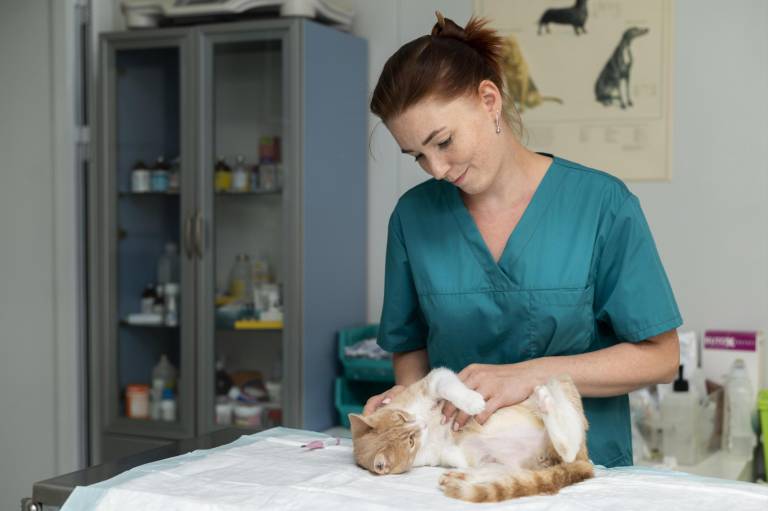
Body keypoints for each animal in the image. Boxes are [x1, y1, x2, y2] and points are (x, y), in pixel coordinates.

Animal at [350, 368, 592, 504]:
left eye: (401, 417)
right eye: (410, 441)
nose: (422, 424)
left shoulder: (435, 380)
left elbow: (449, 386)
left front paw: (473, 401)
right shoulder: (434, 454)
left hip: (561, 381)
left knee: (570, 447)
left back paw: (546, 399)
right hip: (508, 466)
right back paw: (459, 477)